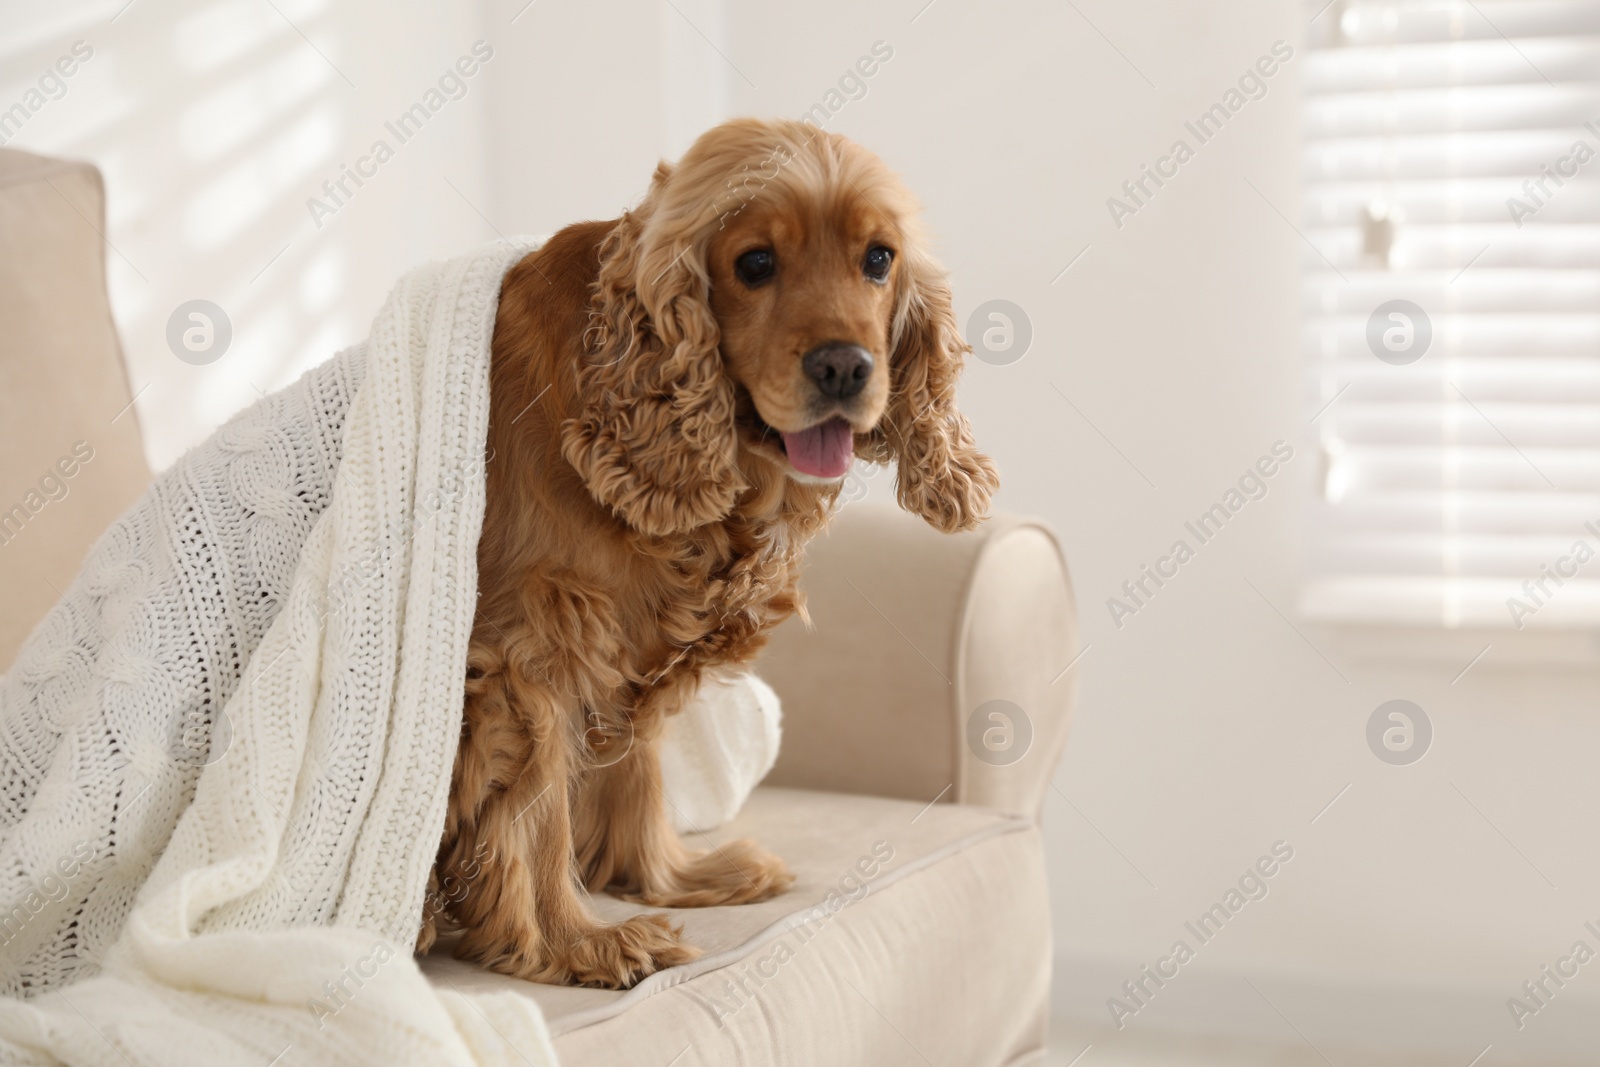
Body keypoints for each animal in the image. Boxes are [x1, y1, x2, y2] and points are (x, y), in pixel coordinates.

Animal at [425, 119, 998, 991]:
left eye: (879, 258)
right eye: (754, 264)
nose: (845, 366)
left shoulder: (629, 634)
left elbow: (636, 766)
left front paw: (666, 876)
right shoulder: (529, 647)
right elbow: (537, 814)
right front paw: (575, 941)